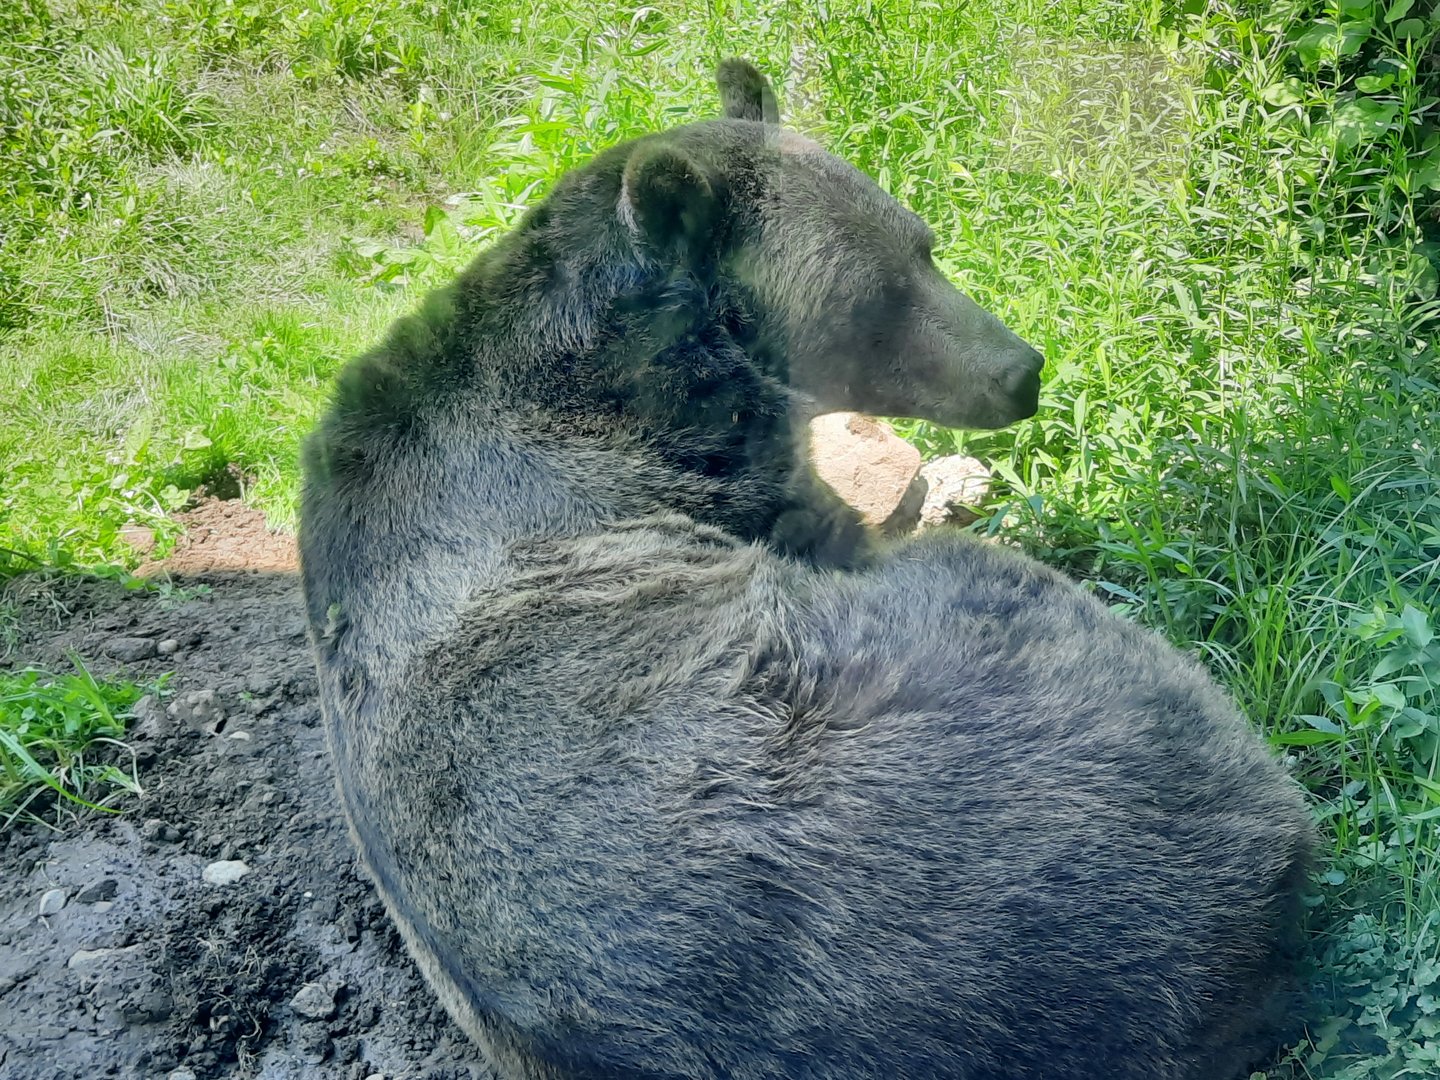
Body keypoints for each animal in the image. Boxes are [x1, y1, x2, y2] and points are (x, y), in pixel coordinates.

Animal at [298, 59, 1314, 1080]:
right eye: (879, 295)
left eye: (926, 245)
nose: (1021, 370)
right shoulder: (707, 478)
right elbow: (849, 522)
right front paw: (955, 482)